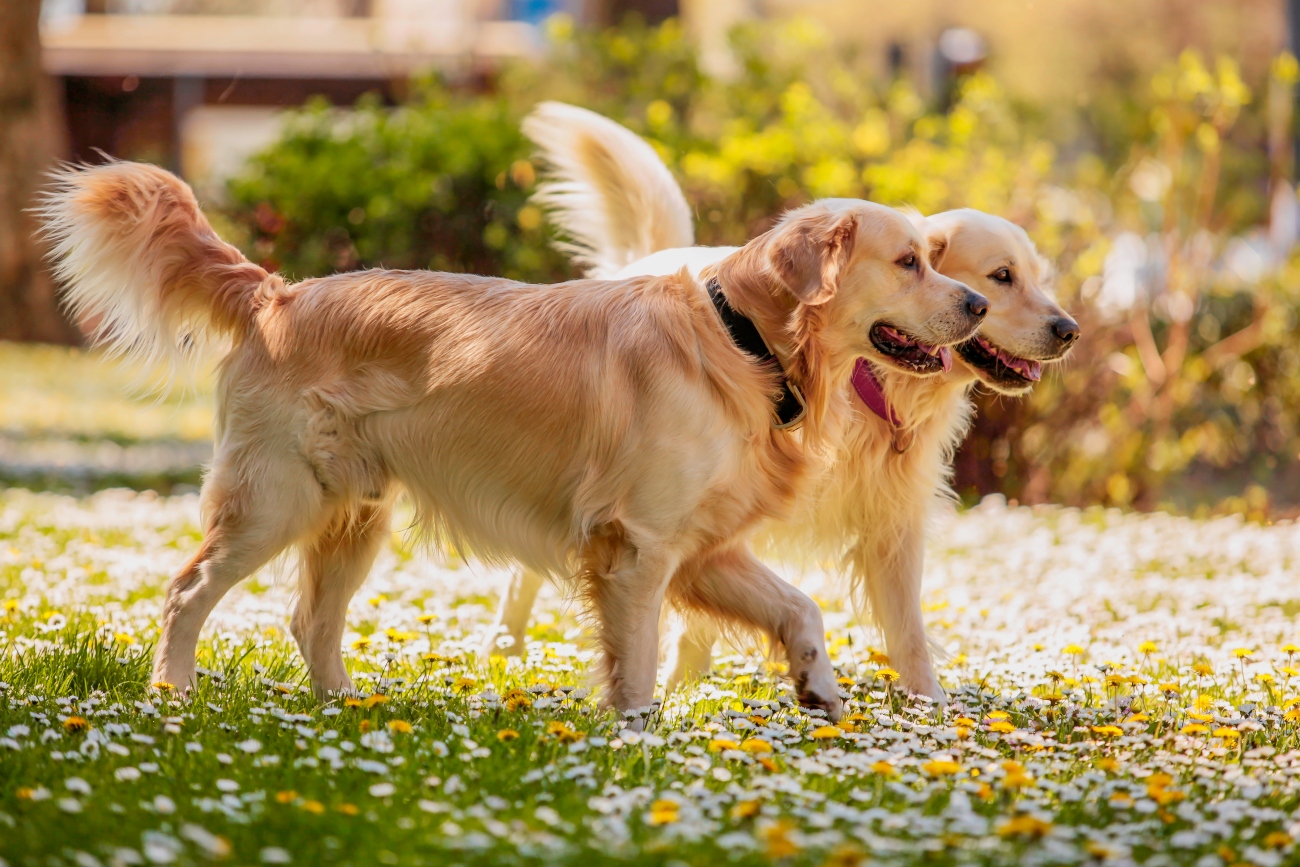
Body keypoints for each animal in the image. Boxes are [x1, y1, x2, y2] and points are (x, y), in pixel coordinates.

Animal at [45, 161, 987, 717]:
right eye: (910, 261)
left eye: (934, 257)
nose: (977, 303)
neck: (743, 340)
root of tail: (277, 292)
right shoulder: (639, 545)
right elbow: (638, 657)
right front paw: (636, 735)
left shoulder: (704, 548)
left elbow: (800, 603)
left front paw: (816, 681)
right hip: (276, 497)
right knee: (187, 589)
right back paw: (172, 692)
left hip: (357, 510)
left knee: (310, 616)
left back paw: (345, 709)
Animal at [483, 102, 1081, 701]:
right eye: (1002, 276)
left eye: (1039, 278)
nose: (1070, 330)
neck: (866, 389)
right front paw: (678, 690)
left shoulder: (893, 525)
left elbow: (908, 632)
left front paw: (927, 706)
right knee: (522, 577)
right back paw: (503, 652)